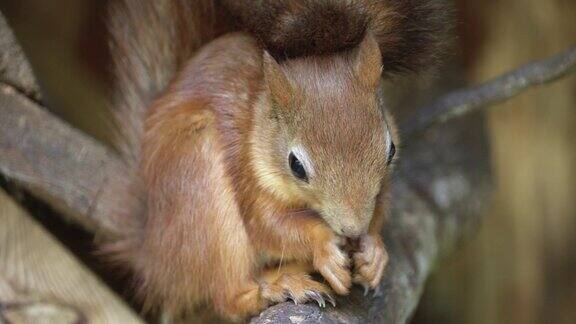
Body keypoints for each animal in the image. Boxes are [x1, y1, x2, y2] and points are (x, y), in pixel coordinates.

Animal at [106, 0, 452, 320]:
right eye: (296, 165)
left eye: (390, 149)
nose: (352, 229)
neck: (257, 118)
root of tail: (155, 257)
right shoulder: (246, 174)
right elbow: (271, 227)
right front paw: (324, 246)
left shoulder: (383, 187)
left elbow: (378, 210)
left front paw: (373, 251)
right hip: (198, 188)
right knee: (229, 297)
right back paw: (280, 285)